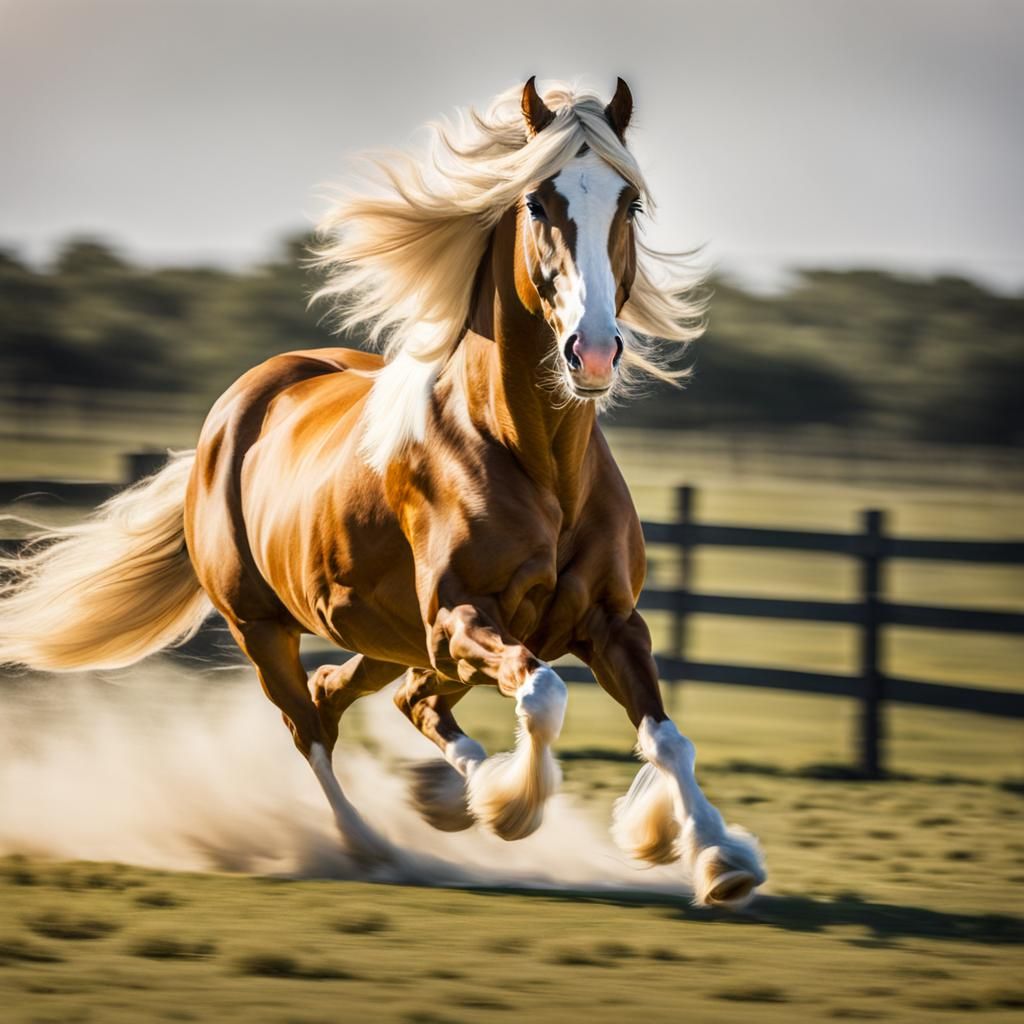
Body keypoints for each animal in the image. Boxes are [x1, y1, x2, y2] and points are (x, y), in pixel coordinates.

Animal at [0, 78, 766, 907]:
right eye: (537, 201)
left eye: (630, 203)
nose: (591, 352)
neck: (537, 465)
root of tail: (231, 415)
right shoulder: (460, 618)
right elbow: (543, 697)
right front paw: (517, 808)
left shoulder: (610, 622)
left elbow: (667, 736)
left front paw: (717, 857)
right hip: (266, 626)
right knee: (310, 726)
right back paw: (371, 844)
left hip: (384, 639)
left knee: (364, 694)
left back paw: (441, 798)